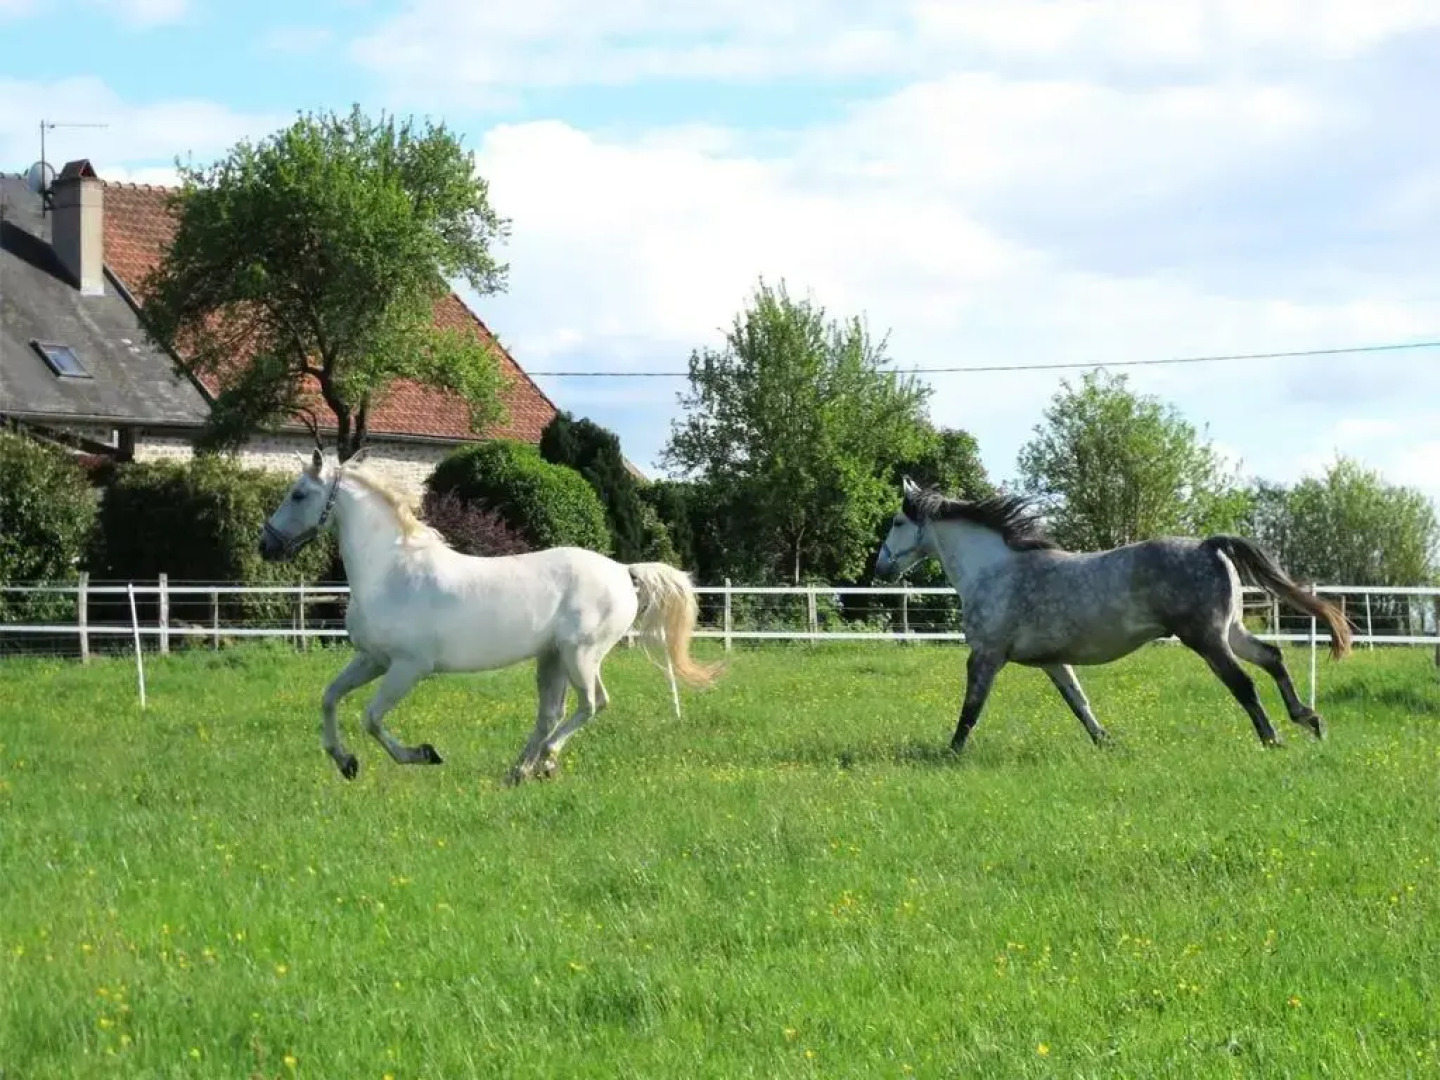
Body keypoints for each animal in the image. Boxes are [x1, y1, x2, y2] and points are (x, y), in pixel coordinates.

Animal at [258, 450, 720, 785]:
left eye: (298, 494)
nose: (266, 546)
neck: (391, 571)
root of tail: (624, 571)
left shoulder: (408, 667)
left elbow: (371, 718)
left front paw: (424, 754)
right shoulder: (371, 659)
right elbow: (330, 697)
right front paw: (345, 762)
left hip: (581, 654)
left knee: (592, 704)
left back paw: (544, 761)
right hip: (552, 658)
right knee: (550, 714)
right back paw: (521, 770)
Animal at [873, 477, 1353, 752]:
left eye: (897, 522)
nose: (880, 569)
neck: (994, 569)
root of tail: (1207, 544)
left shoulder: (986, 655)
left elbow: (971, 707)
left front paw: (952, 752)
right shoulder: (1052, 661)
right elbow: (1079, 703)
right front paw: (1105, 742)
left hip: (1205, 638)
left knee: (1244, 683)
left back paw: (1272, 738)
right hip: (1230, 631)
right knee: (1272, 658)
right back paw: (1310, 721)